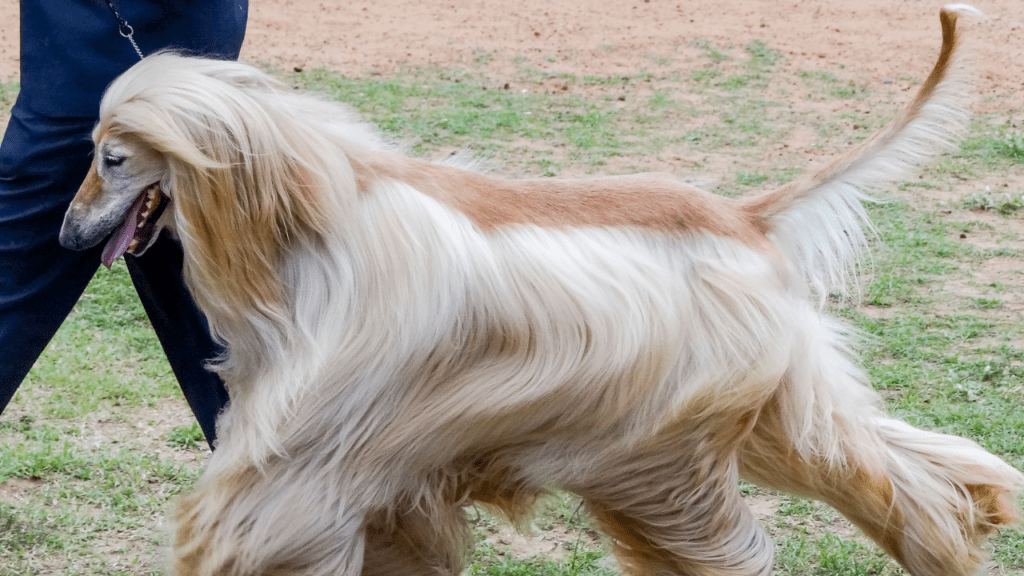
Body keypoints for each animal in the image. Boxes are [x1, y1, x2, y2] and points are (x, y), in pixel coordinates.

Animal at [59, 5, 1019, 573]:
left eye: (112, 158)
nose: (66, 234)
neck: (304, 221)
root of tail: (744, 217)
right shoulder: (383, 466)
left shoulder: (320, 451)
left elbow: (253, 523)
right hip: (759, 408)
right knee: (891, 467)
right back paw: (962, 528)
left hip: (665, 449)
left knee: (733, 543)